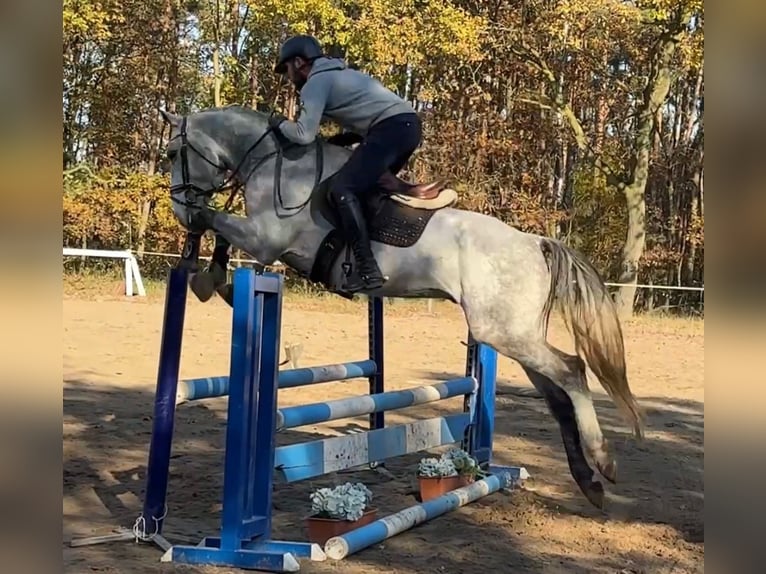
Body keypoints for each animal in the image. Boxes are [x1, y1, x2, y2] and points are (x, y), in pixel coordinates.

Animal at [162, 106, 648, 510]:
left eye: (172, 153)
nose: (178, 210)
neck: (271, 161)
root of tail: (535, 243)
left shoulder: (266, 240)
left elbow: (215, 221)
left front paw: (202, 269)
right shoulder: (261, 240)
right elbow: (218, 230)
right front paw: (208, 277)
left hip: (501, 332)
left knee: (573, 371)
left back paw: (604, 462)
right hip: (513, 335)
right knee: (559, 397)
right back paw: (588, 482)